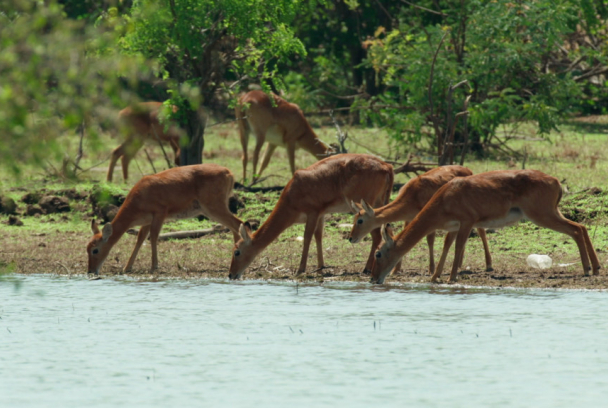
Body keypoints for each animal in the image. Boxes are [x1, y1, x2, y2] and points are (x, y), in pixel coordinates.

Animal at [86, 164, 243, 276]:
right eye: (86, 248)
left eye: (95, 250)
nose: (90, 271)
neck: (139, 198)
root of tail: (229, 173)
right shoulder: (147, 220)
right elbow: (140, 238)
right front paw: (127, 267)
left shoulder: (160, 213)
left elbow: (154, 237)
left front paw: (154, 267)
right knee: (235, 227)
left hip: (213, 207)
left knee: (238, 223)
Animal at [228, 154, 394, 280]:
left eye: (237, 251)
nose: (231, 275)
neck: (292, 194)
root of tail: (387, 167)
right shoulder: (321, 214)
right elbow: (318, 235)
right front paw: (321, 267)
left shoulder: (312, 213)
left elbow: (307, 236)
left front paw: (301, 269)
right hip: (380, 204)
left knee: (376, 235)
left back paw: (366, 269)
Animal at [346, 167, 494, 278]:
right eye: (354, 219)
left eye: (360, 220)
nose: (351, 238)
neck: (412, 196)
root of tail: (468, 169)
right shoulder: (410, 218)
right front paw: (395, 270)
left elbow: (430, 240)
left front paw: (431, 269)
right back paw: (459, 264)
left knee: (481, 231)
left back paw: (489, 265)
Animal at [368, 169, 600, 284]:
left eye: (379, 253)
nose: (372, 279)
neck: (445, 197)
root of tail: (556, 181)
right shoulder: (453, 227)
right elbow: (446, 248)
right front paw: (434, 278)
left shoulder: (467, 222)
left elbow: (458, 247)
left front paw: (451, 277)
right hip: (551, 212)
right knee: (581, 227)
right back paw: (595, 267)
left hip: (542, 215)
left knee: (575, 229)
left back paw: (587, 269)